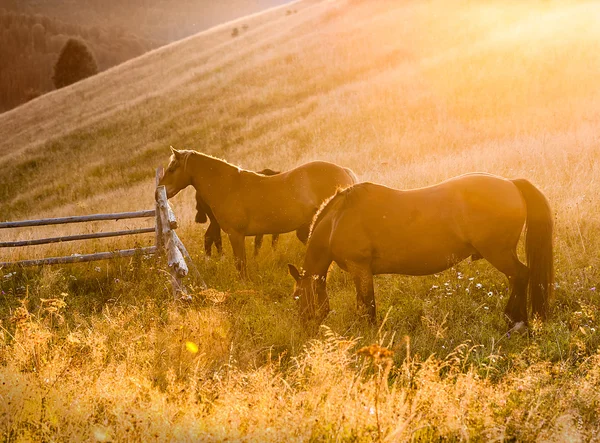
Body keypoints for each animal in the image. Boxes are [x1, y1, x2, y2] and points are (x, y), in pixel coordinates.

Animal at [157, 151, 358, 280]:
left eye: (173, 167)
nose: (161, 190)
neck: (229, 186)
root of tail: (343, 170)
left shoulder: (236, 235)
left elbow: (240, 264)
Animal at [288, 173, 556, 330]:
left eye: (297, 297)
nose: (304, 327)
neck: (337, 219)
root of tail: (511, 184)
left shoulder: (360, 268)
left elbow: (367, 305)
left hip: (498, 253)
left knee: (520, 275)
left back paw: (515, 320)